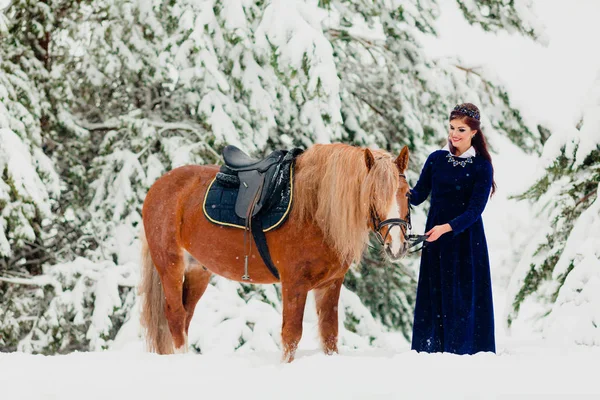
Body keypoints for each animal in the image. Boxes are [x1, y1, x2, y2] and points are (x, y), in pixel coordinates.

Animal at [140, 142, 410, 360]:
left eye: (407, 192)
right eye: (373, 194)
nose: (396, 245)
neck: (314, 209)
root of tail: (158, 185)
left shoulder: (330, 285)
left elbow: (330, 335)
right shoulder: (294, 283)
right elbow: (291, 336)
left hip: (198, 271)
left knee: (185, 317)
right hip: (170, 266)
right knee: (175, 317)